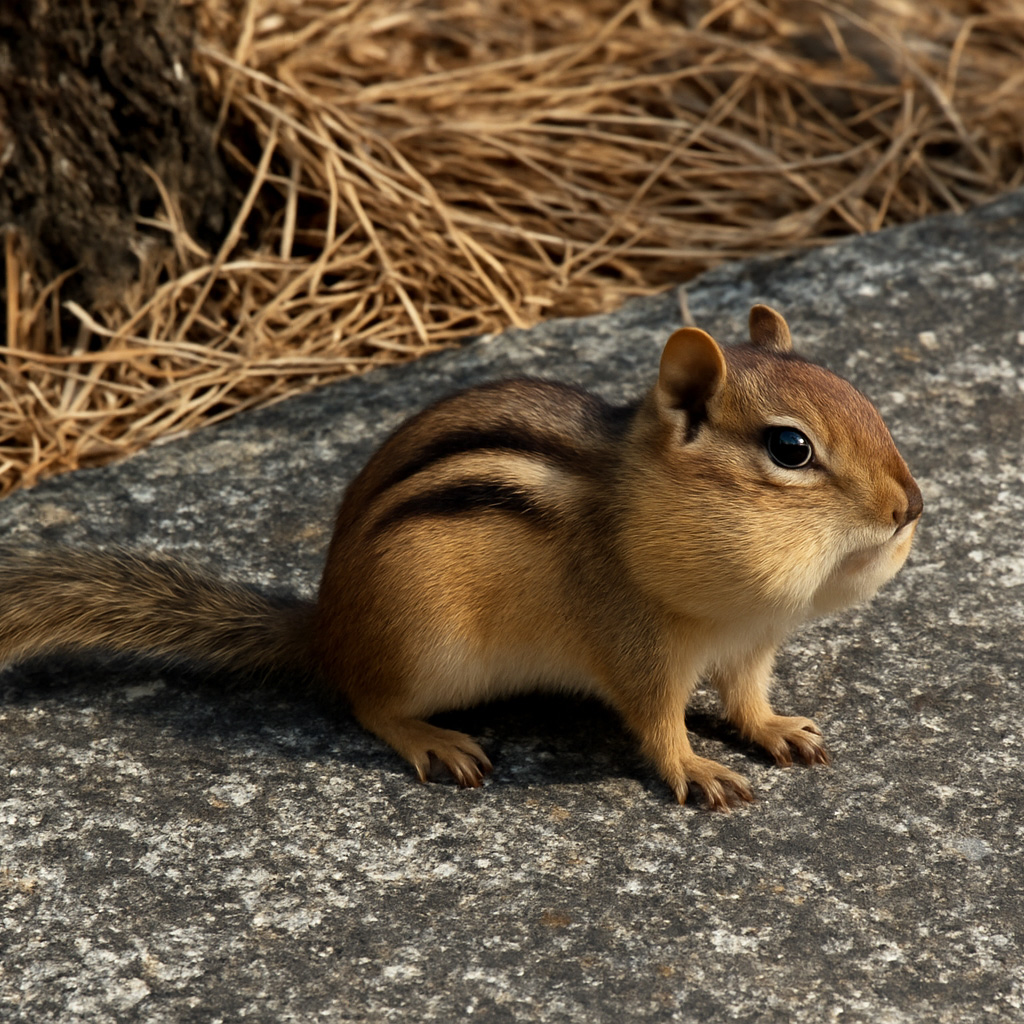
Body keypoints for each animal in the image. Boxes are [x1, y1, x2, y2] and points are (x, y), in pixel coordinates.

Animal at [0, 306, 922, 810]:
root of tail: (325, 625)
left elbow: (746, 696)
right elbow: (656, 720)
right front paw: (696, 767)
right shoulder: (635, 642)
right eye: (791, 449)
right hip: (424, 645)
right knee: (366, 701)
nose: (910, 507)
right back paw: (431, 739)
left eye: (867, 402)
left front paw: (775, 729)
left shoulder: (752, 644)